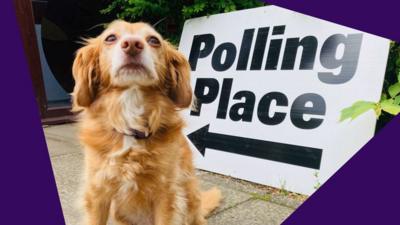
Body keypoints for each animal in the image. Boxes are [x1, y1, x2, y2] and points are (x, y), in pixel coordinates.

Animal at [72, 19, 222, 225]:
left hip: (190, 197)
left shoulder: (165, 195)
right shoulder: (98, 192)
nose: (132, 44)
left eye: (153, 40)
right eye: (110, 38)